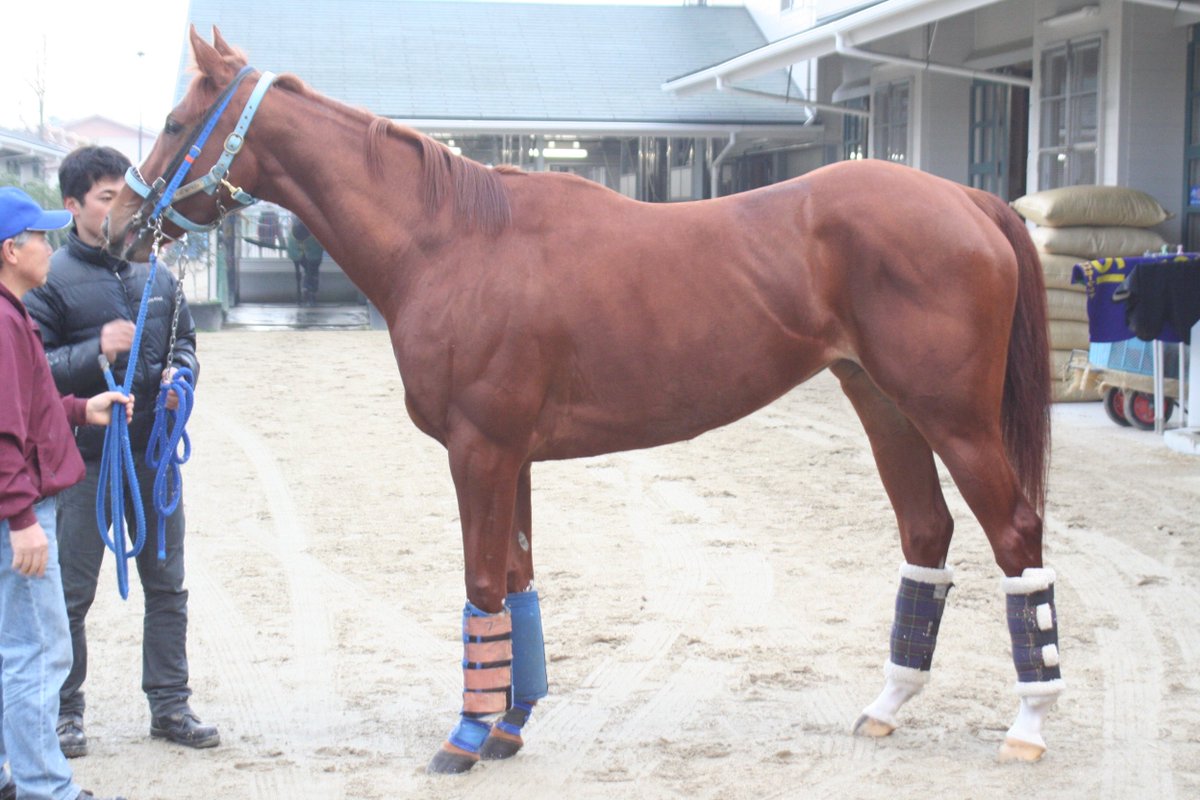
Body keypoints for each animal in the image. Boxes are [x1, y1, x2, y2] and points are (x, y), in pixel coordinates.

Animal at [106, 27, 1062, 773]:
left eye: (177, 123)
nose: (118, 228)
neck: (453, 240)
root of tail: (968, 199)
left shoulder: (481, 451)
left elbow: (482, 582)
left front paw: (464, 737)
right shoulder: (512, 456)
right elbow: (517, 584)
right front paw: (508, 726)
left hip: (954, 418)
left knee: (1016, 538)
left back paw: (1029, 722)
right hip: (884, 404)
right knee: (927, 535)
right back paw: (888, 705)